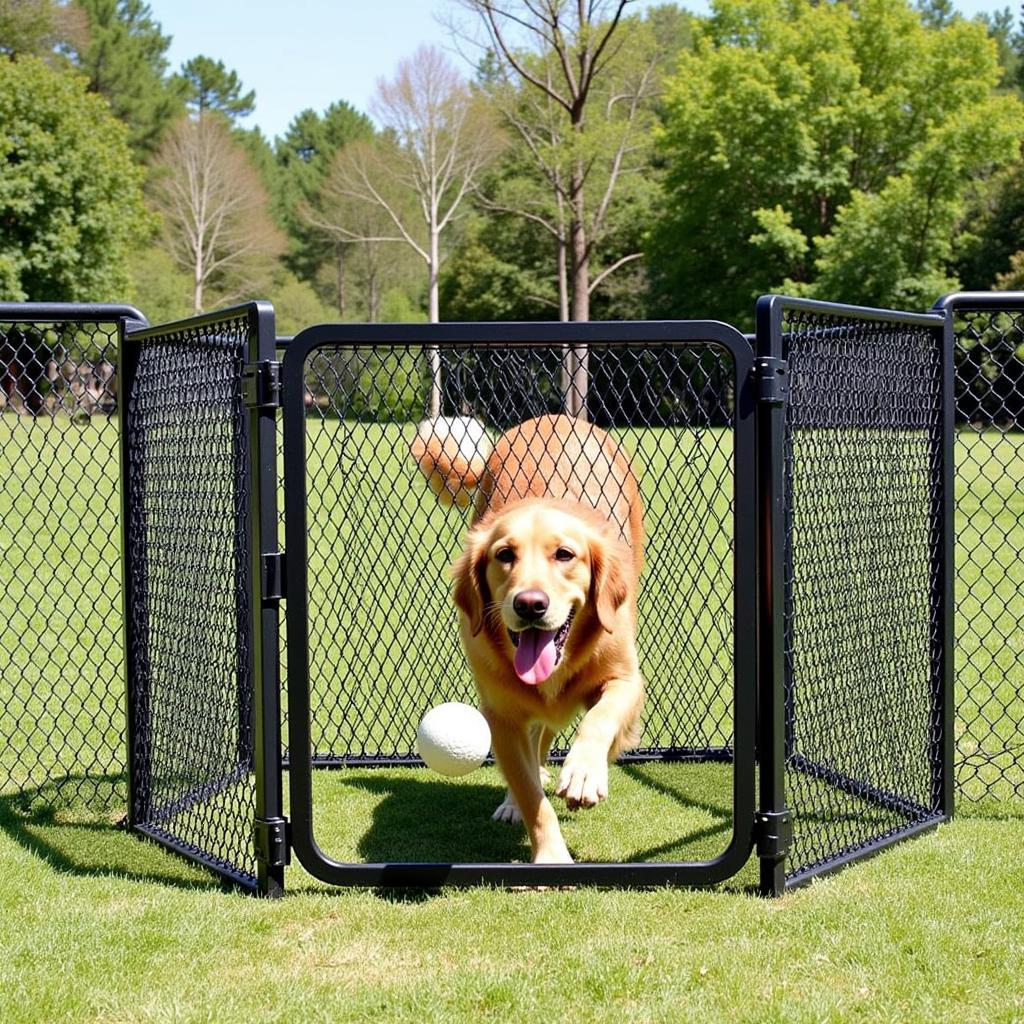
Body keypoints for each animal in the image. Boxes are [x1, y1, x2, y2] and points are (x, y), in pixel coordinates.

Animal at [411, 411, 643, 860]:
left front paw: (585, 771)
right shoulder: (500, 715)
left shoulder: (626, 679)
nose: (530, 604)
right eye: (504, 555)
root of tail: (558, 415)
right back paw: (511, 803)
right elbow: (530, 793)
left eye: (565, 555)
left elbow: (600, 718)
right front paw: (549, 852)